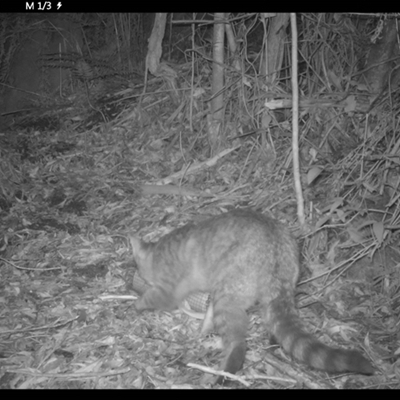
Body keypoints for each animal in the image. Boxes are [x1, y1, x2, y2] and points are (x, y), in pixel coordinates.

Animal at [130, 208, 374, 382]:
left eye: (137, 266)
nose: (135, 274)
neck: (157, 252)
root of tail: (276, 248)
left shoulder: (170, 285)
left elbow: (160, 298)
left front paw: (138, 303)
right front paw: (204, 326)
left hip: (231, 282)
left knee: (237, 339)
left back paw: (227, 368)